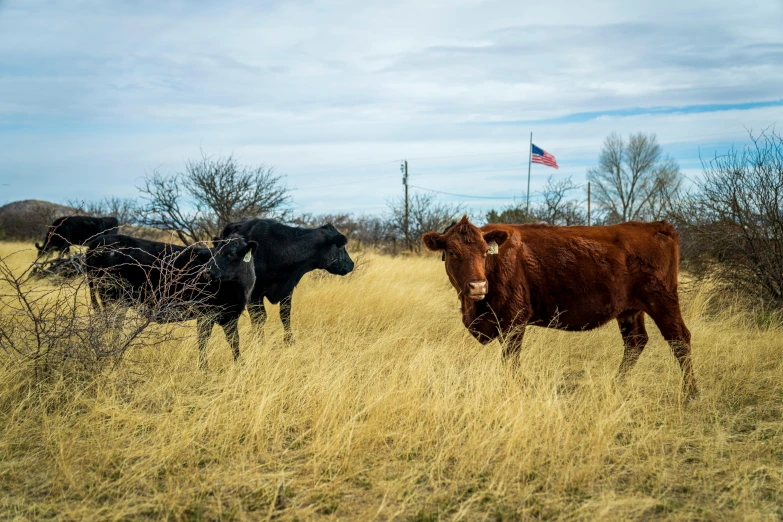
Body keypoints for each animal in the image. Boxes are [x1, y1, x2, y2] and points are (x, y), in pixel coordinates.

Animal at [85, 234, 258, 364]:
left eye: (231, 254)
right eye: (215, 252)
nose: (207, 272)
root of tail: (97, 242)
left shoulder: (219, 315)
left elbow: (218, 341)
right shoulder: (216, 314)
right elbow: (225, 341)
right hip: (114, 300)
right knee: (113, 328)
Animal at [220, 217, 356, 344]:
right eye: (341, 247)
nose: (351, 264)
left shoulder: (288, 289)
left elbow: (285, 315)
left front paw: (289, 341)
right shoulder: (254, 294)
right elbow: (259, 318)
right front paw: (259, 341)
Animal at [422, 215, 700, 398]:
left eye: (484, 251)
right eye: (453, 252)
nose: (478, 287)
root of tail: (658, 226)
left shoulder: (514, 321)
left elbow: (511, 360)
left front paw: (522, 388)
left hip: (662, 301)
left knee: (679, 339)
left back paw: (690, 393)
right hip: (630, 310)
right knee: (635, 342)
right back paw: (615, 386)